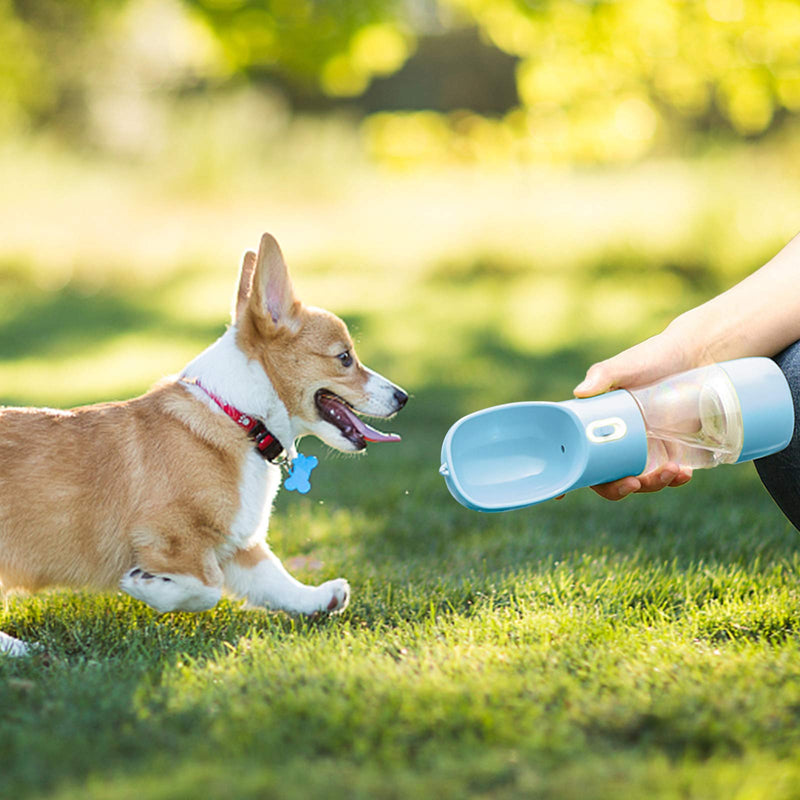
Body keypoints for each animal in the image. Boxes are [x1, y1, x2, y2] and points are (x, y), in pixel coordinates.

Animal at [0, 233, 410, 656]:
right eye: (344, 358)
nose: (403, 397)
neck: (239, 416)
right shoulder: (172, 536)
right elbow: (208, 589)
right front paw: (143, 585)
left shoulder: (238, 544)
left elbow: (275, 580)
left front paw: (321, 596)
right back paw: (18, 648)